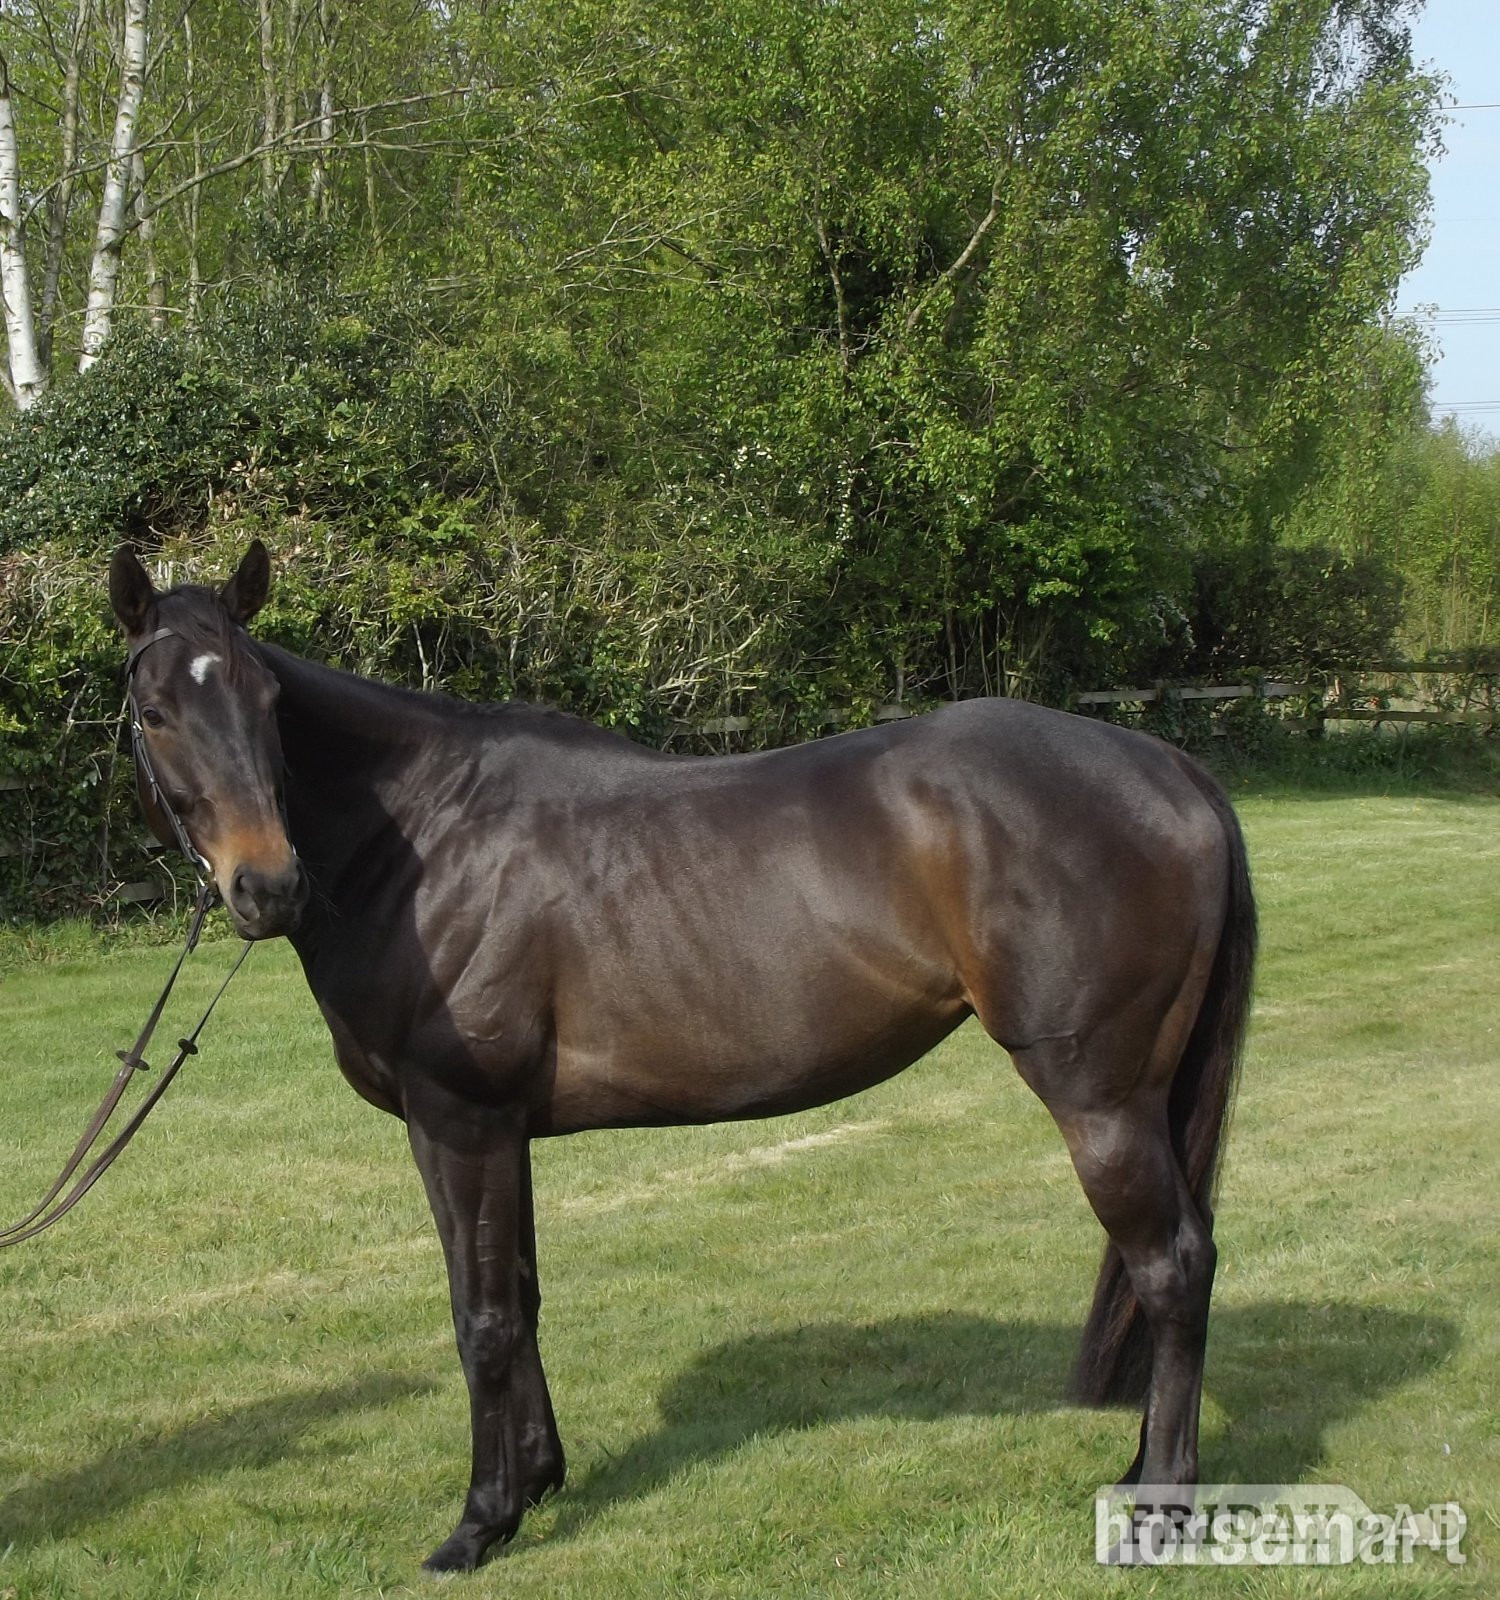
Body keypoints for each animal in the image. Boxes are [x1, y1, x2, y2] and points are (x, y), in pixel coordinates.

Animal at [106, 540, 1254, 1571]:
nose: (267, 886)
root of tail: (1172, 767)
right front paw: (539, 1478)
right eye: (157, 712)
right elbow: (521, 1295)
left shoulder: (458, 1122)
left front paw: (481, 1523)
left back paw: (1161, 1508)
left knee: (1173, 1265)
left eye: (267, 706)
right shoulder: (499, 1131)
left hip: (1101, 1101)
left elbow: (480, 1316)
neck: (426, 843)